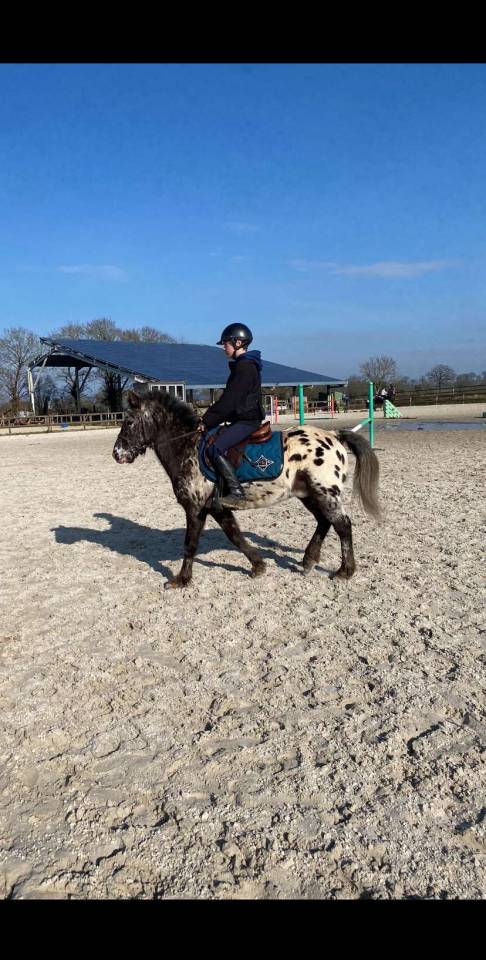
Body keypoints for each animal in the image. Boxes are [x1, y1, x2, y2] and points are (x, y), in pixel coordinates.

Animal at [112, 390, 381, 589]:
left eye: (129, 422)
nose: (117, 454)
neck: (188, 448)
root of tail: (334, 436)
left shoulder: (195, 508)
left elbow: (190, 543)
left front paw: (181, 580)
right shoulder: (217, 508)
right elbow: (235, 536)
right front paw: (258, 566)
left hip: (325, 492)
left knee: (342, 525)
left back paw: (345, 571)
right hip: (308, 494)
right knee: (324, 522)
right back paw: (308, 561)